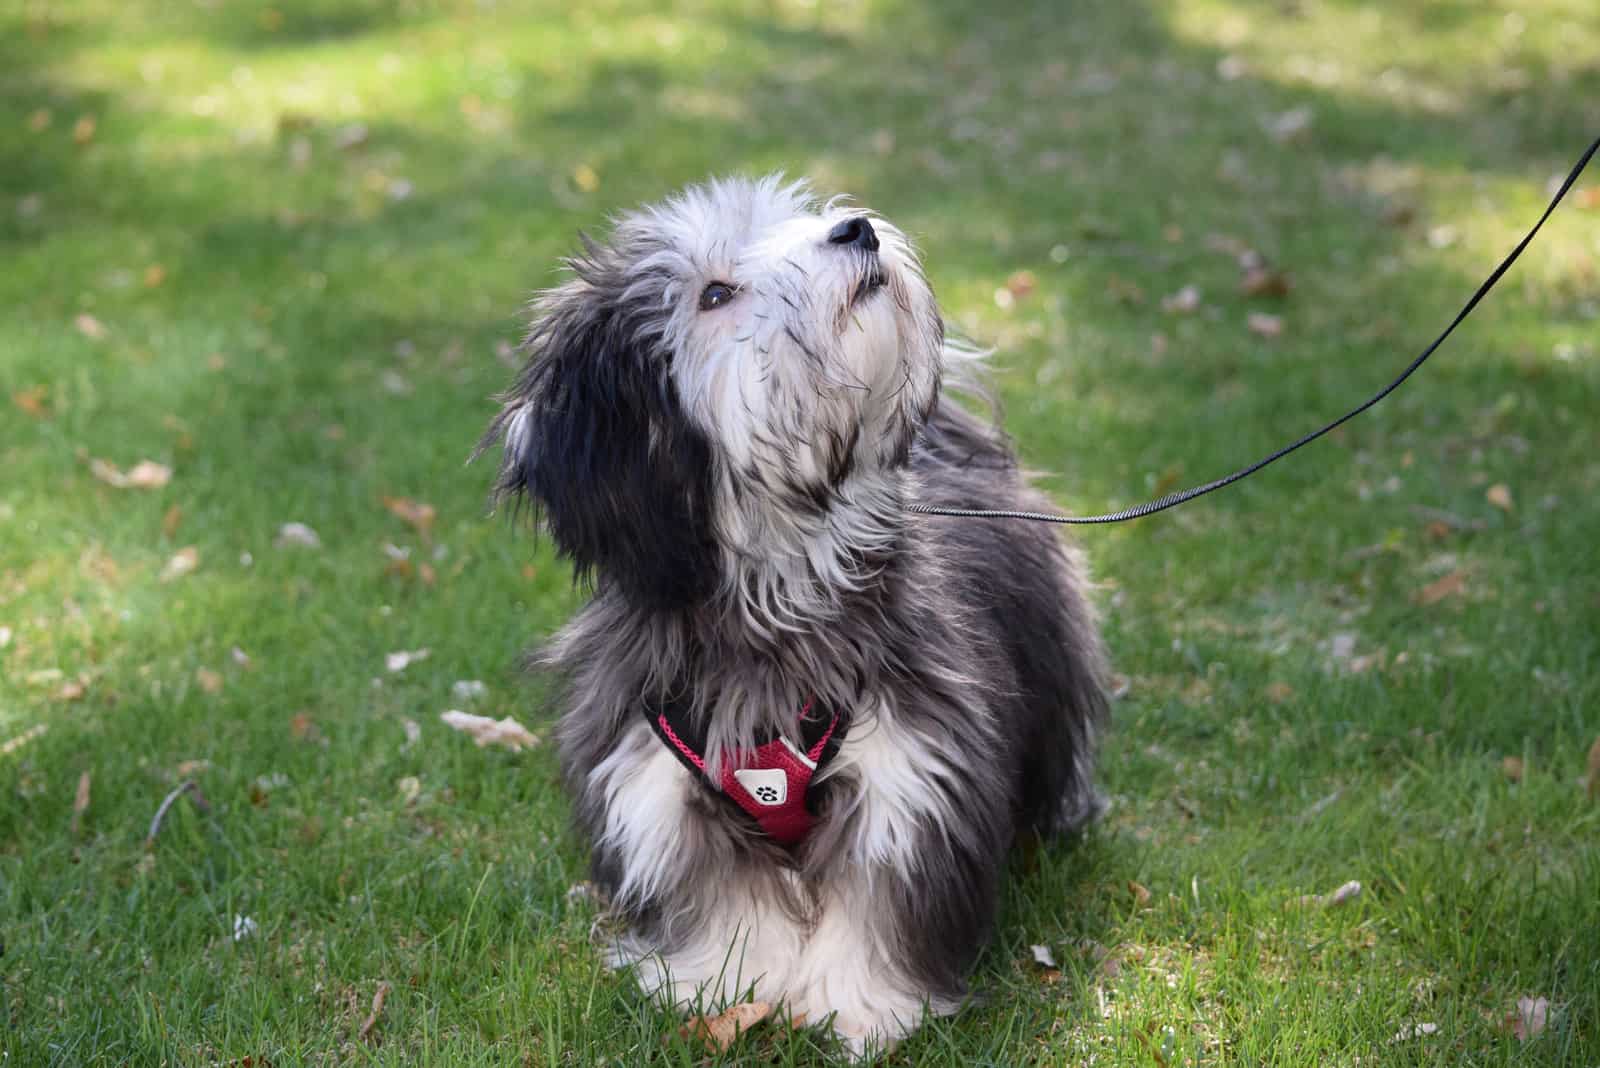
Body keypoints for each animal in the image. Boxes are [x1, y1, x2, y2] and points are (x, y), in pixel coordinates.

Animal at [480, 173, 1107, 1048]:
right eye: (714, 293)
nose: (855, 230)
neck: (785, 579)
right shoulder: (660, 782)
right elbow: (719, 898)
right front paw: (723, 985)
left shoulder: (909, 771)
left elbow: (877, 904)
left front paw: (863, 1007)